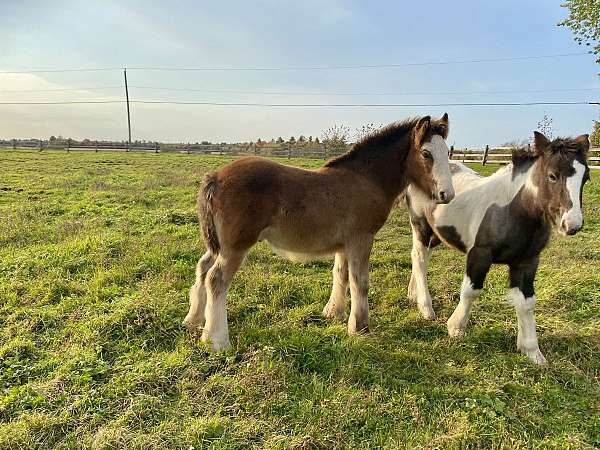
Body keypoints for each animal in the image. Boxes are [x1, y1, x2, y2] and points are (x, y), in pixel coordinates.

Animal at [185, 114, 452, 350]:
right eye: (426, 154)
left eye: (447, 153)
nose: (446, 194)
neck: (367, 181)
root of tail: (215, 177)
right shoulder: (361, 239)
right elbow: (360, 282)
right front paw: (361, 328)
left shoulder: (344, 244)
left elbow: (341, 275)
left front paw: (334, 313)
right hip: (236, 246)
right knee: (216, 279)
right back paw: (217, 340)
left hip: (218, 245)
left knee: (203, 268)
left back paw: (194, 321)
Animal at [406, 132, 588, 364]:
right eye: (552, 175)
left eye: (585, 178)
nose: (571, 225)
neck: (512, 210)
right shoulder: (479, 255)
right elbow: (470, 291)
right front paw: (456, 328)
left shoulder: (528, 262)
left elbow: (527, 302)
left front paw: (532, 351)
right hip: (421, 225)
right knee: (419, 258)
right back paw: (426, 308)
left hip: (438, 232)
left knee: (422, 257)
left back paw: (413, 294)